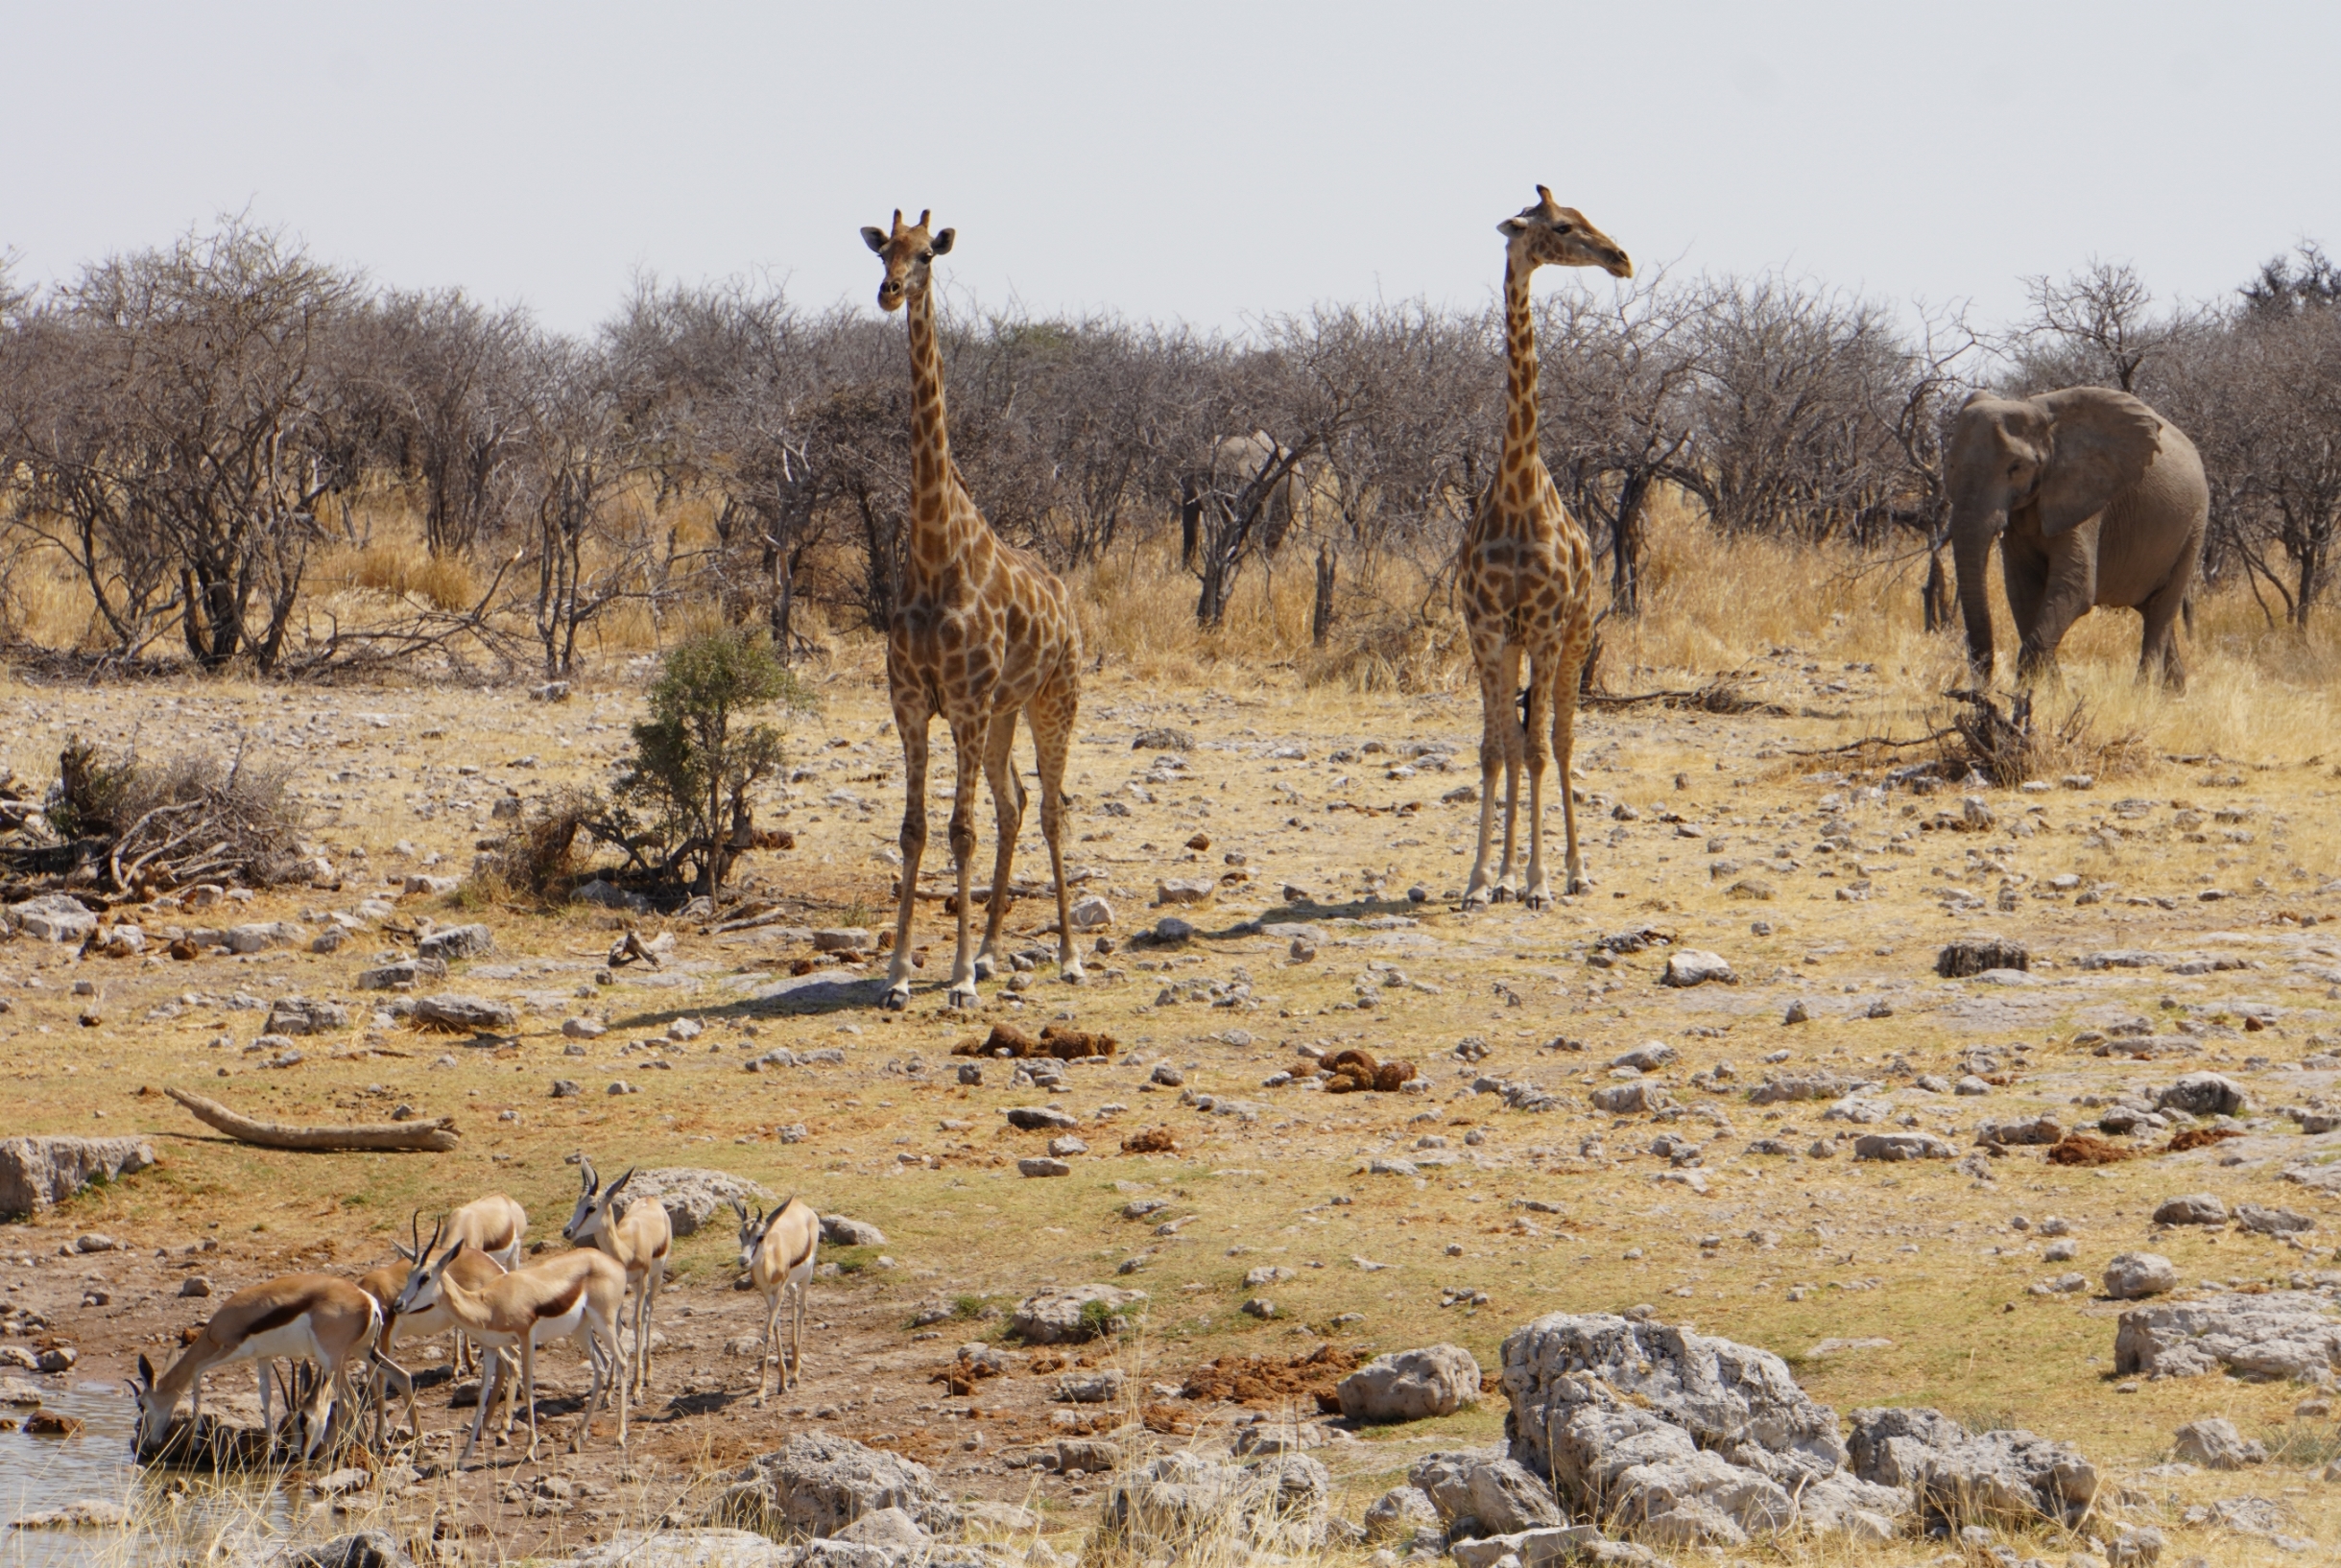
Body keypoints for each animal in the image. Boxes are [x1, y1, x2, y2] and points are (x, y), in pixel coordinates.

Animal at [856, 208, 1081, 1015]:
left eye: (926, 253)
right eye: (881, 251)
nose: (889, 292)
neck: (933, 549)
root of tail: (1069, 603)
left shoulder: (963, 699)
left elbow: (959, 831)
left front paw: (952, 979)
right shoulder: (912, 702)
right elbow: (914, 829)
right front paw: (898, 972)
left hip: (1053, 698)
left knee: (1049, 808)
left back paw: (1067, 957)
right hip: (1003, 712)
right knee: (1015, 803)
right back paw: (987, 951)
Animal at [1451, 187, 1638, 908]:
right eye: (1560, 227)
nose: (1621, 258)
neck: (1518, 488)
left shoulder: (1547, 626)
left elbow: (1536, 749)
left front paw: (1536, 881)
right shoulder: (1486, 629)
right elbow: (1494, 750)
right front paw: (1483, 880)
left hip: (1578, 632)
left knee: (1559, 740)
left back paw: (1573, 871)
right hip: (1520, 642)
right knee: (1519, 740)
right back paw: (1506, 876)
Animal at [1947, 386, 2200, 688]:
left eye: (2016, 467)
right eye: (1950, 465)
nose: (1978, 690)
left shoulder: (2085, 495)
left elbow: (2076, 587)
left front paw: (2033, 692)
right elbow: (2021, 591)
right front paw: (2051, 690)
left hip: (2194, 527)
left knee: (2162, 612)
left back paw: (2144, 692)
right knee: (2155, 613)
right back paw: (2173, 692)